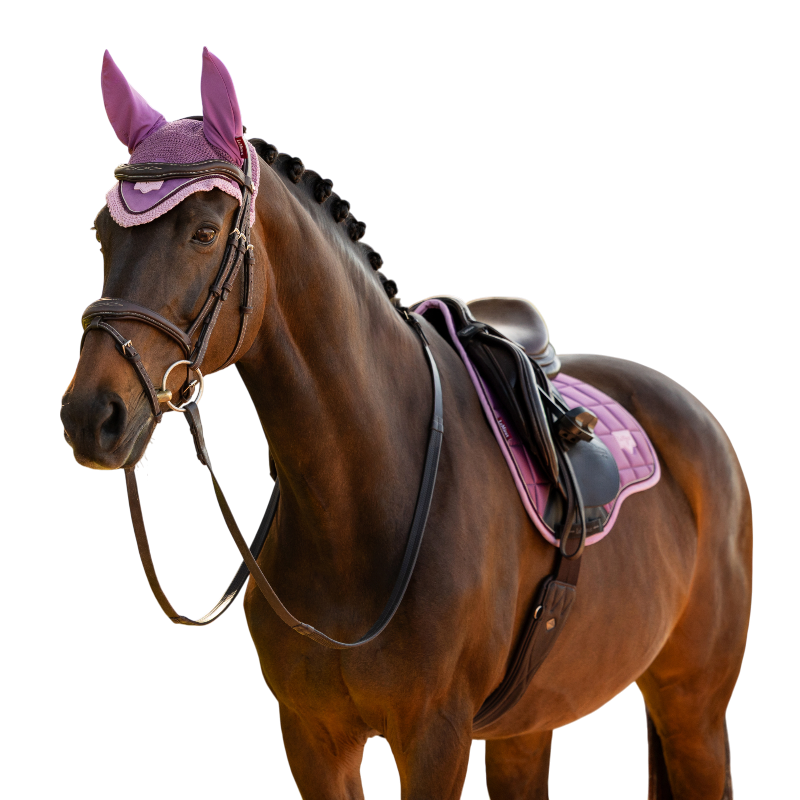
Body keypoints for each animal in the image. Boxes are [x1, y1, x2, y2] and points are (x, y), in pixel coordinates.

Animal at [60, 48, 752, 799]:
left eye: (205, 232)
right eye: (101, 232)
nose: (92, 414)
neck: (363, 493)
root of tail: (696, 417)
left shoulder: (434, 737)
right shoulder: (313, 737)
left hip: (693, 710)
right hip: (530, 724)